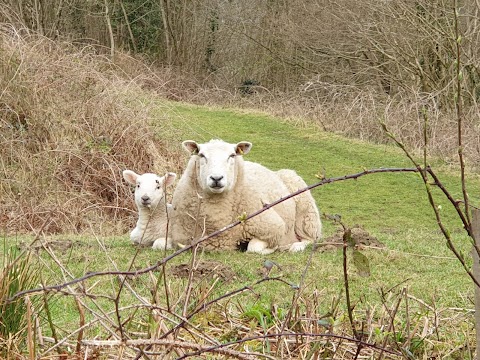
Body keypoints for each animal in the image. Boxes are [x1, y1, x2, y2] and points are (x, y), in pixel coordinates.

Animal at [169, 139, 322, 255]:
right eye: (201, 155)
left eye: (232, 155)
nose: (217, 178)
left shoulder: (274, 228)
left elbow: (253, 248)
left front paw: (273, 248)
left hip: (306, 215)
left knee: (310, 238)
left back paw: (295, 246)